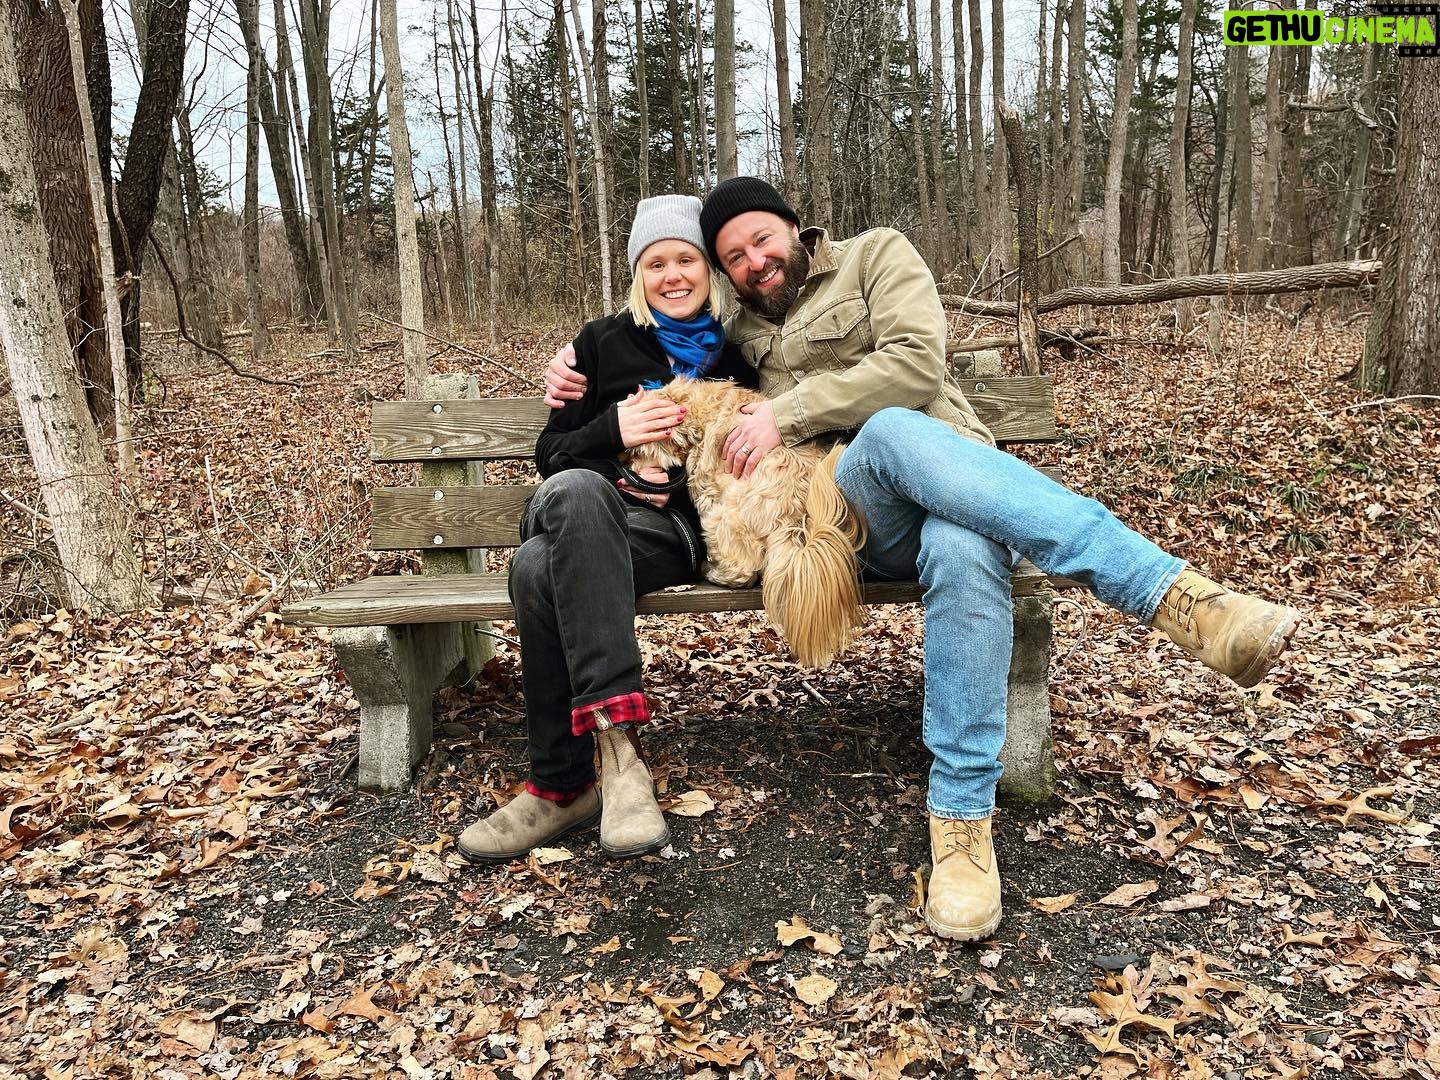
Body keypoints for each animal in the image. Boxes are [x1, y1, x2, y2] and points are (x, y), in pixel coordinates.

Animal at [623, 377, 867, 668]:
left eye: (637, 451)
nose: (624, 467)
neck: (696, 410)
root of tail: (793, 518)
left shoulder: (705, 487)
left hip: (720, 519)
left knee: (743, 571)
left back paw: (712, 571)